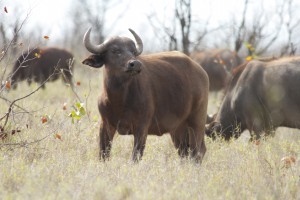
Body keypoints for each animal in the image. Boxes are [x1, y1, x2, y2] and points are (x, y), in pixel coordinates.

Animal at [82, 27, 209, 162]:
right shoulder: (105, 125)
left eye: (133, 51)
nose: (135, 64)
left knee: (197, 151)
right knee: (184, 151)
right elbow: (103, 154)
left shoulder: (141, 128)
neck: (120, 100)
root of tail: (201, 71)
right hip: (178, 128)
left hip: (197, 121)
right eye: (115, 50)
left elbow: (135, 157)